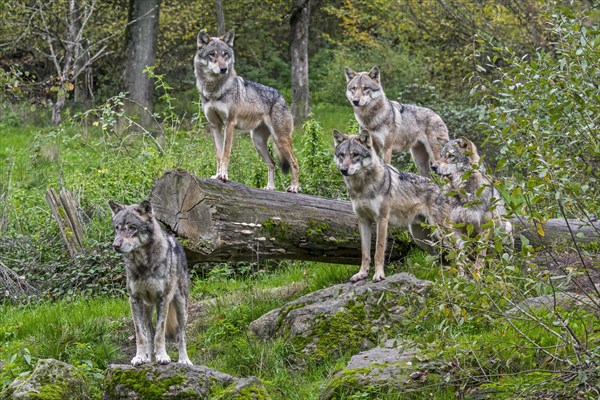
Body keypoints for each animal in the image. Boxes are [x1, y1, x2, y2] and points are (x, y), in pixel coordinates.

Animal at [108, 200, 192, 366]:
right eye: (117, 228)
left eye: (132, 228)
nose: (116, 245)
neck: (143, 265)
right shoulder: (134, 300)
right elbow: (141, 335)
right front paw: (140, 357)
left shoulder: (163, 299)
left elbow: (160, 334)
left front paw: (162, 357)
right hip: (146, 309)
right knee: (148, 333)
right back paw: (147, 357)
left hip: (181, 307)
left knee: (181, 335)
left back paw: (184, 360)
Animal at [195, 28, 300, 193]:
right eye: (212, 54)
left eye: (225, 54)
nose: (224, 69)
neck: (214, 90)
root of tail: (281, 97)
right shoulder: (214, 125)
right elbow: (218, 155)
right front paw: (216, 176)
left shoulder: (229, 124)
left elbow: (225, 153)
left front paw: (223, 176)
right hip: (257, 142)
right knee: (272, 163)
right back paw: (270, 188)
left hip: (280, 140)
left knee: (295, 162)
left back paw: (294, 188)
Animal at [332, 128, 450, 282]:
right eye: (342, 155)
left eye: (355, 155)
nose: (344, 170)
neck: (361, 188)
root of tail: (446, 190)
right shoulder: (363, 221)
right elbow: (365, 253)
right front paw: (362, 274)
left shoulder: (382, 220)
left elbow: (378, 251)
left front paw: (378, 275)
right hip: (421, 238)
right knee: (442, 256)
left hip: (441, 233)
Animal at [434, 138, 512, 276]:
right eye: (441, 156)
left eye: (451, 156)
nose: (433, 167)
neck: (463, 194)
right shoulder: (455, 228)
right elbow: (460, 256)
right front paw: (462, 276)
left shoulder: (485, 226)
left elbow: (481, 254)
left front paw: (477, 274)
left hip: (506, 227)